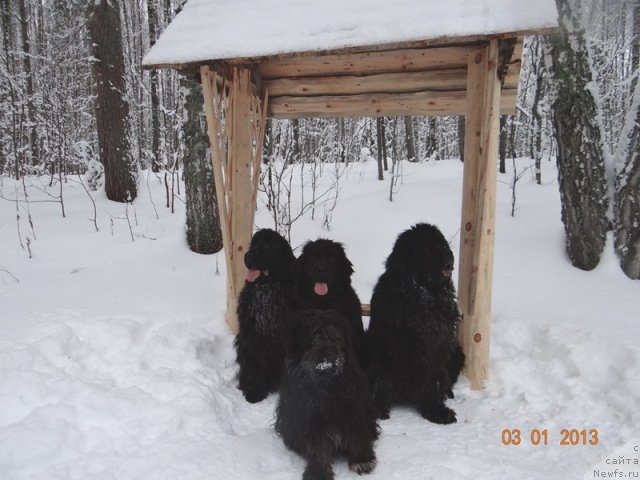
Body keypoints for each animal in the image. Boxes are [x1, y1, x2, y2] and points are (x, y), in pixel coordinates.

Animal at [234, 229, 296, 402]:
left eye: (268, 246)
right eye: (254, 243)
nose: (247, 256)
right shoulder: (252, 337)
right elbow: (254, 366)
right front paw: (254, 390)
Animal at [276, 308, 380, 480]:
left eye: (336, 335)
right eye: (314, 334)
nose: (329, 354)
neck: (327, 382)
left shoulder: (353, 409)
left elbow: (357, 434)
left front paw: (361, 459)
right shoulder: (311, 419)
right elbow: (317, 447)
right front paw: (318, 472)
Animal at [364, 224, 464, 424]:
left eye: (442, 243)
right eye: (425, 248)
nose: (449, 253)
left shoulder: (435, 350)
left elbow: (432, 382)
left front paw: (437, 410)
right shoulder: (386, 347)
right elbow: (381, 380)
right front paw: (377, 410)